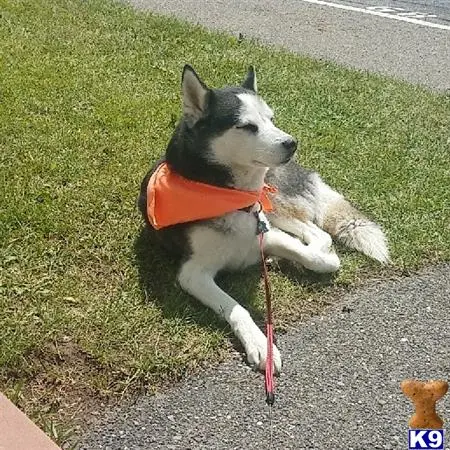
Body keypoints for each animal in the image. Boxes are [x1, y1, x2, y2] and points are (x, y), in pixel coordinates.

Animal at [139, 66, 388, 372]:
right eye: (247, 126)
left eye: (271, 119)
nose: (292, 143)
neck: (228, 195)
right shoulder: (193, 273)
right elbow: (237, 308)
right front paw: (260, 344)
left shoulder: (266, 233)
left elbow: (319, 259)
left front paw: (317, 258)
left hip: (274, 203)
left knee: (318, 232)